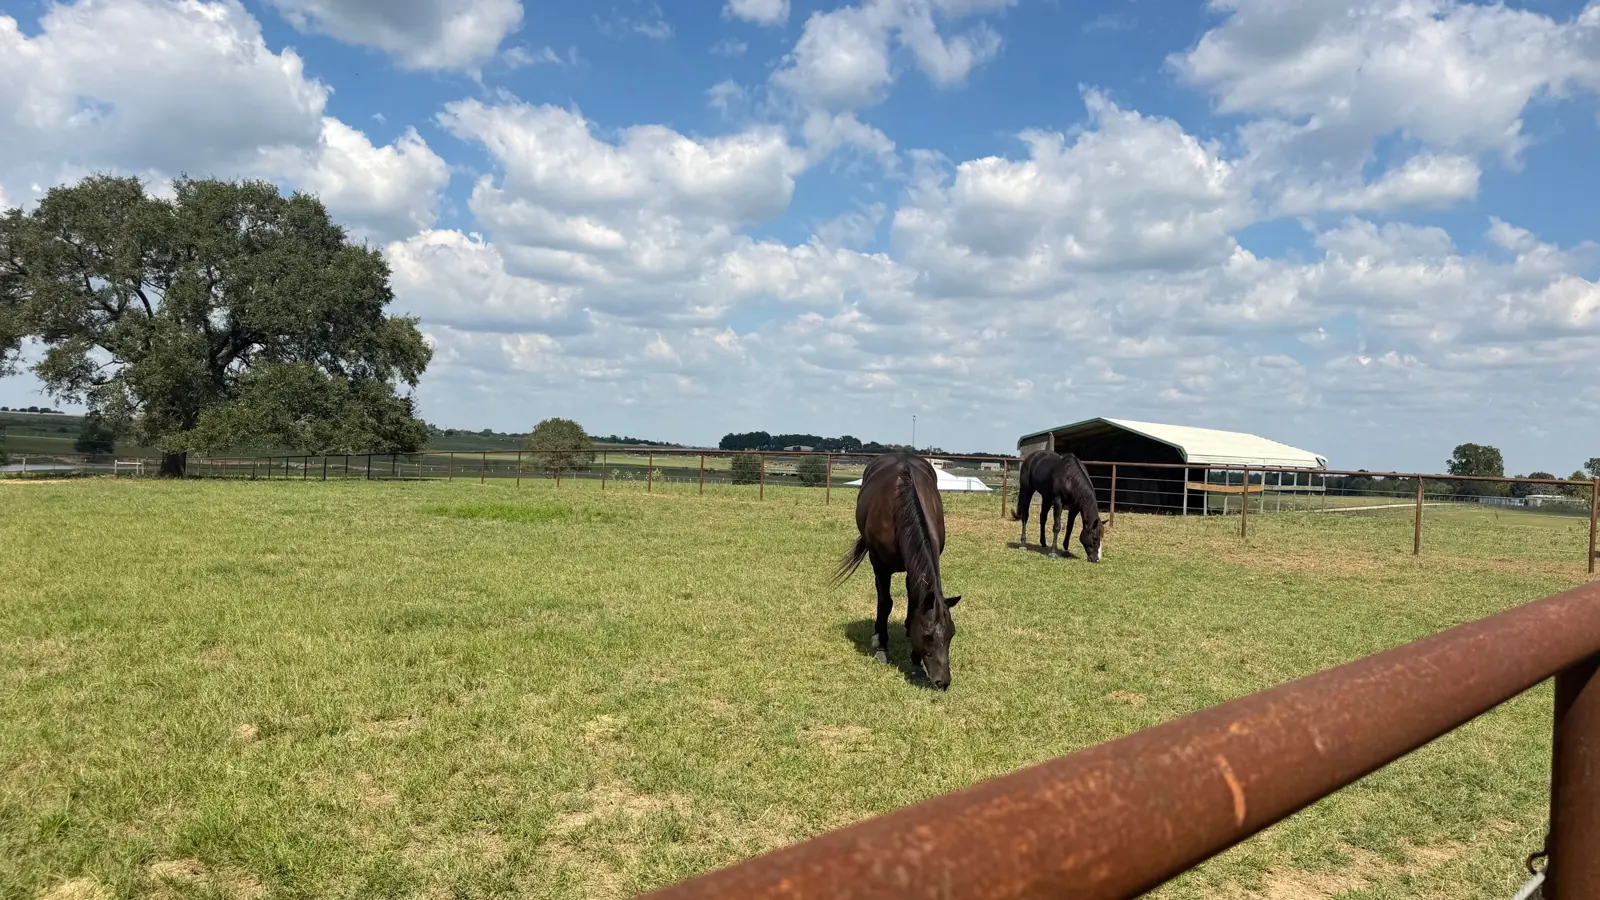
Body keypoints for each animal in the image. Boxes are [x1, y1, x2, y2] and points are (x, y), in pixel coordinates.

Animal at [832, 450, 962, 690]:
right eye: (928, 634)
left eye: (952, 633)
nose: (943, 681)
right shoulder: (880, 565)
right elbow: (885, 603)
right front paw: (883, 648)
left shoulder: (914, 569)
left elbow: (913, 605)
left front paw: (915, 662)